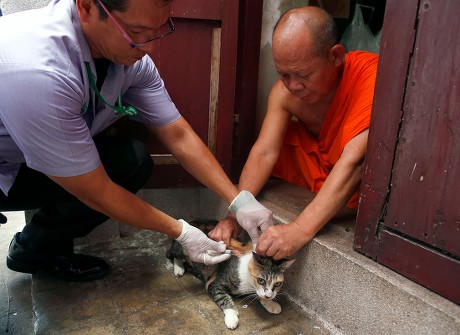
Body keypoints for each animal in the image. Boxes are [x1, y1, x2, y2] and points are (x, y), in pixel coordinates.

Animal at [166, 222, 294, 330]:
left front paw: (271, 304)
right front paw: (232, 317)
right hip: (182, 248)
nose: (269, 296)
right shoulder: (214, 283)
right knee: (170, 252)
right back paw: (178, 267)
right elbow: (224, 299)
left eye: (278, 283)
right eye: (261, 280)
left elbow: (261, 294)